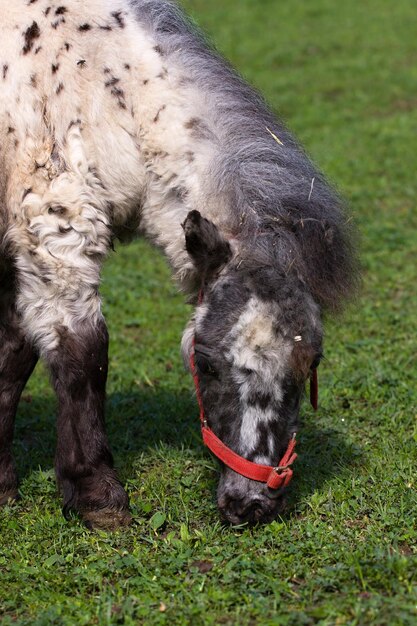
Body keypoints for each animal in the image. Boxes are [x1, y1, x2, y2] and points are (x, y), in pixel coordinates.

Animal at [0, 0, 356, 528]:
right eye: (204, 362)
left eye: (311, 364)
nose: (251, 503)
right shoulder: (55, 231)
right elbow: (82, 353)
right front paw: (97, 496)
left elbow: (13, 353)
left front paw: (2, 483)